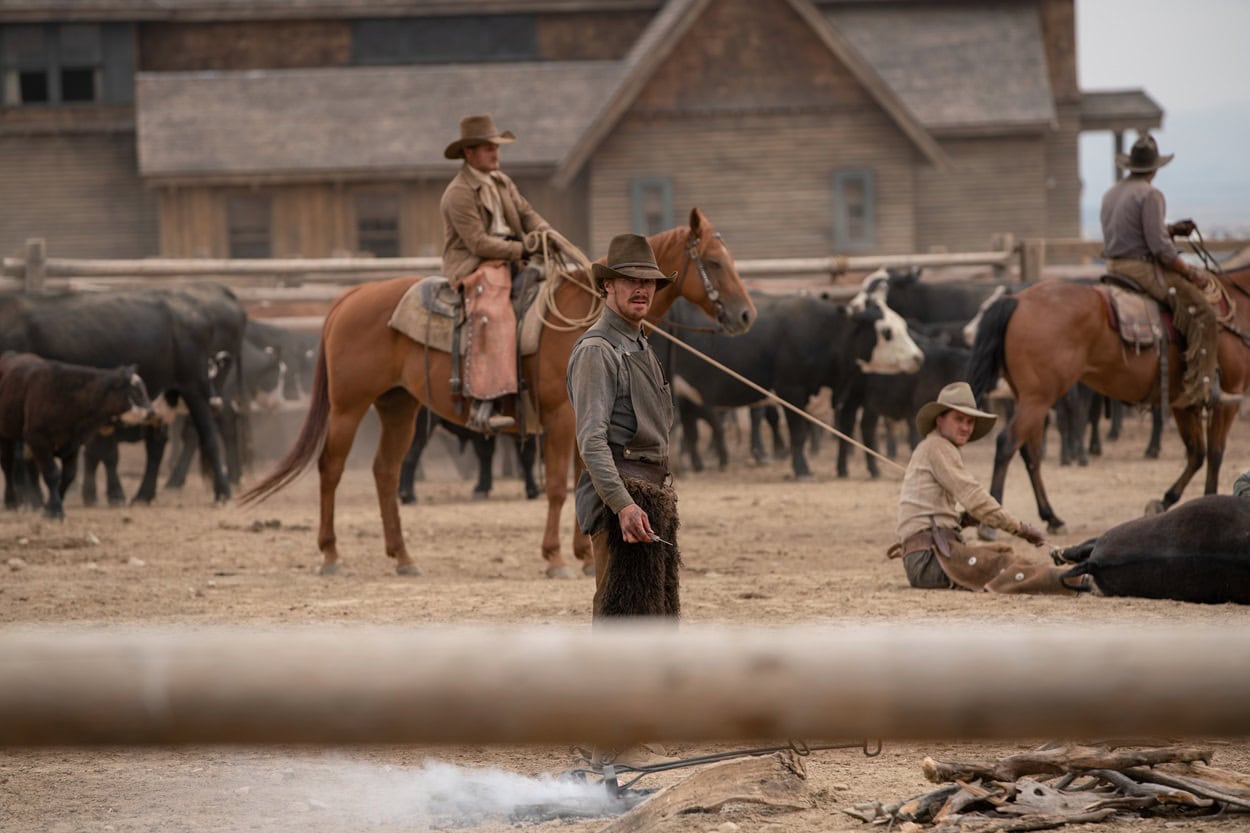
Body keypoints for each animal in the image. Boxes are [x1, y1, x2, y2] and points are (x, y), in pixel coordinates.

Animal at [0, 347, 154, 512]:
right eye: (135, 392)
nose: (152, 412)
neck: (66, 396)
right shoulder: (37, 438)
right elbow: (51, 473)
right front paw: (54, 509)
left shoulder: (73, 442)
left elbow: (68, 475)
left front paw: (52, 503)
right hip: (7, 436)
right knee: (8, 465)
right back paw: (12, 502)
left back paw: (35, 503)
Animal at [238, 206, 755, 570]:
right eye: (714, 262)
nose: (746, 314)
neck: (583, 315)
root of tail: (350, 296)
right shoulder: (562, 417)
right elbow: (557, 485)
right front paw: (555, 557)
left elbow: (583, 477)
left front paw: (581, 553)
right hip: (349, 405)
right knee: (331, 468)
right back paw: (330, 554)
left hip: (398, 406)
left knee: (385, 471)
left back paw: (403, 557)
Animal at [965, 262, 1250, 527]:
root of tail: (1017, 300)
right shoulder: (1229, 396)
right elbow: (1214, 452)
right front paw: (1209, 499)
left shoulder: (1183, 403)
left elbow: (1197, 452)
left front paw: (1164, 501)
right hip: (1038, 398)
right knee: (1007, 443)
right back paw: (992, 521)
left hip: (1029, 398)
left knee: (1030, 452)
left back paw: (1051, 517)